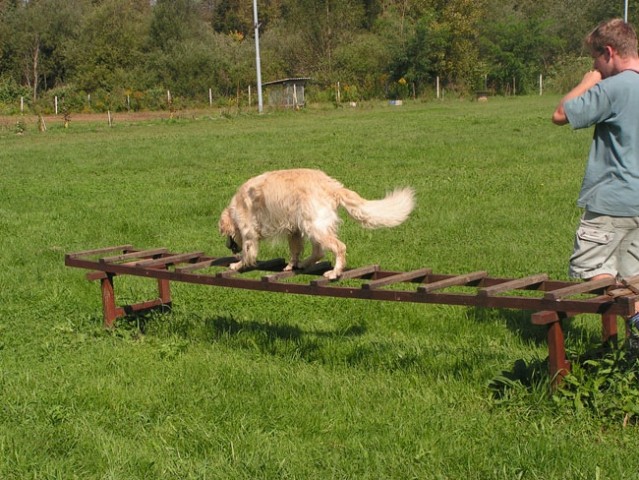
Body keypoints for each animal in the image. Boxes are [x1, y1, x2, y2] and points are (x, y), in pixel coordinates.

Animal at [218, 170, 418, 280]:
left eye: (227, 236)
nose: (228, 246)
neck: (236, 205)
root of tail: (333, 186)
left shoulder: (249, 234)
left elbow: (247, 254)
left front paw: (237, 265)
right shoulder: (294, 231)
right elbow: (295, 251)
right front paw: (292, 265)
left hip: (314, 226)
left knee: (339, 247)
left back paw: (334, 272)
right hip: (310, 226)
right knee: (319, 251)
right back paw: (304, 264)